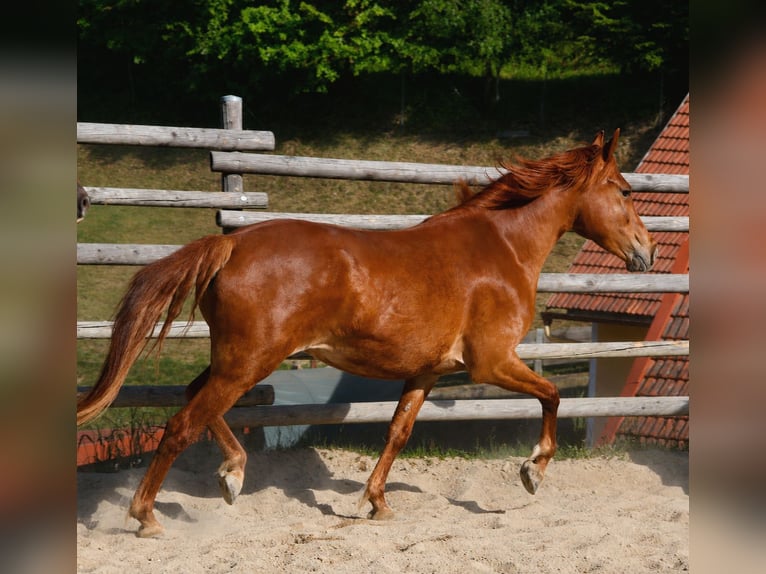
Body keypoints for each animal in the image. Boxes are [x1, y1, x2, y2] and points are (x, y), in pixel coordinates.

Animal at [77, 129, 656, 537]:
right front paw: (532, 471)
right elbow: (553, 394)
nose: (647, 252)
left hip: (238, 359)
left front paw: (378, 503)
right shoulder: (491, 362)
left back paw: (233, 475)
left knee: (196, 398)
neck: (502, 248)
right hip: (249, 361)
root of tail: (231, 245)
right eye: (627, 191)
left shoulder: (427, 373)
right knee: (182, 423)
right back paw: (148, 517)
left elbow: (397, 432)